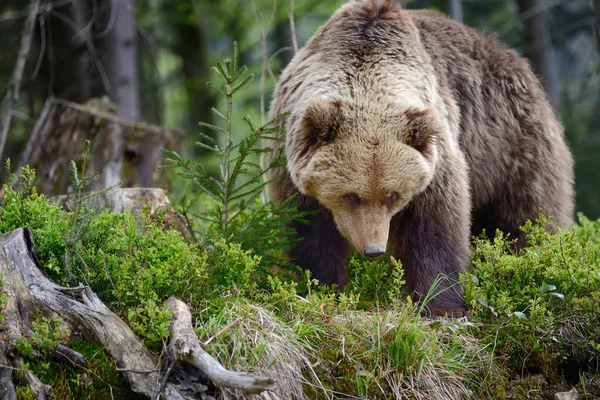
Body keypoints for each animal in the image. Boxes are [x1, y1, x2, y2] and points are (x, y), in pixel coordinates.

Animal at [264, 0, 576, 318]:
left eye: (392, 195)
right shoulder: (291, 168)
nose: (374, 249)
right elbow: (308, 234)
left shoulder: (436, 161)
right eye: (351, 195)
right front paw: (317, 287)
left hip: (511, 146)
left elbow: (435, 230)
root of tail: (523, 67)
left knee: (527, 216)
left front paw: (441, 305)